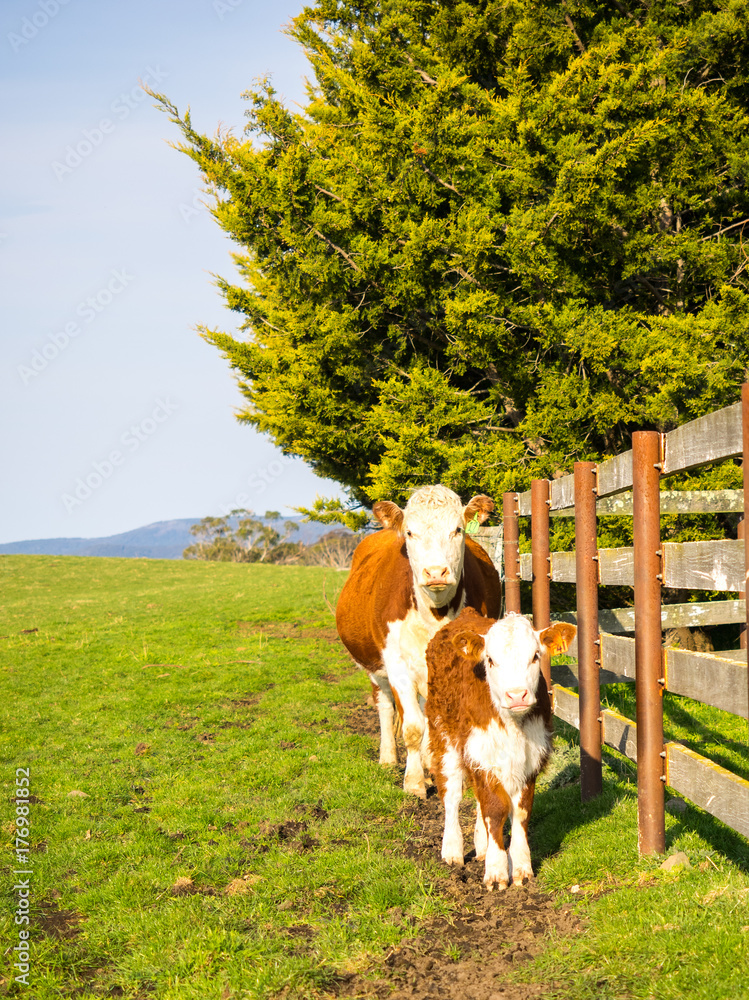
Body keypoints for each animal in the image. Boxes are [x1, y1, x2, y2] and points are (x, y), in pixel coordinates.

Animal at [334, 484, 500, 796]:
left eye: (458, 529)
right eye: (411, 532)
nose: (436, 572)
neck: (434, 614)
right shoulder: (396, 664)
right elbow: (411, 727)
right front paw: (413, 782)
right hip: (375, 667)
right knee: (385, 705)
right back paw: (389, 757)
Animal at [424, 604, 576, 888]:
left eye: (535, 656)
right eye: (491, 660)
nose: (516, 695)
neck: (513, 726)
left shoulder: (530, 758)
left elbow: (521, 811)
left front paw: (521, 867)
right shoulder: (482, 753)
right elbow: (494, 810)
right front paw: (496, 871)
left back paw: (481, 846)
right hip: (443, 733)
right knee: (452, 793)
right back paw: (452, 850)